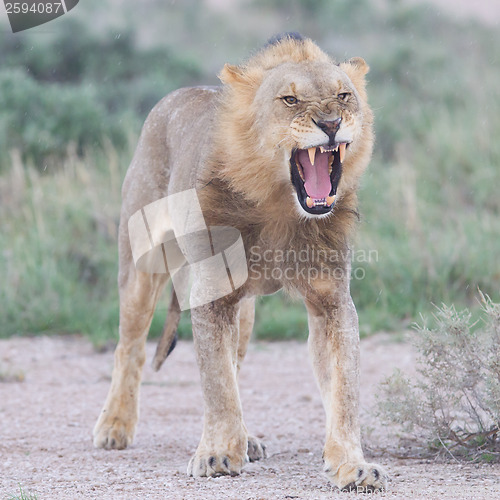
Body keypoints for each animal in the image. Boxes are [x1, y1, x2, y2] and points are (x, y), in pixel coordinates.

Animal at [94, 34, 390, 492]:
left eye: (343, 96)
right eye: (290, 99)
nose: (330, 123)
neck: (281, 207)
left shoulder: (332, 301)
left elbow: (343, 388)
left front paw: (352, 466)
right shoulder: (212, 294)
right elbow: (216, 382)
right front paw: (216, 454)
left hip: (246, 310)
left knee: (233, 359)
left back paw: (247, 439)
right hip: (141, 266)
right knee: (131, 348)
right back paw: (114, 426)